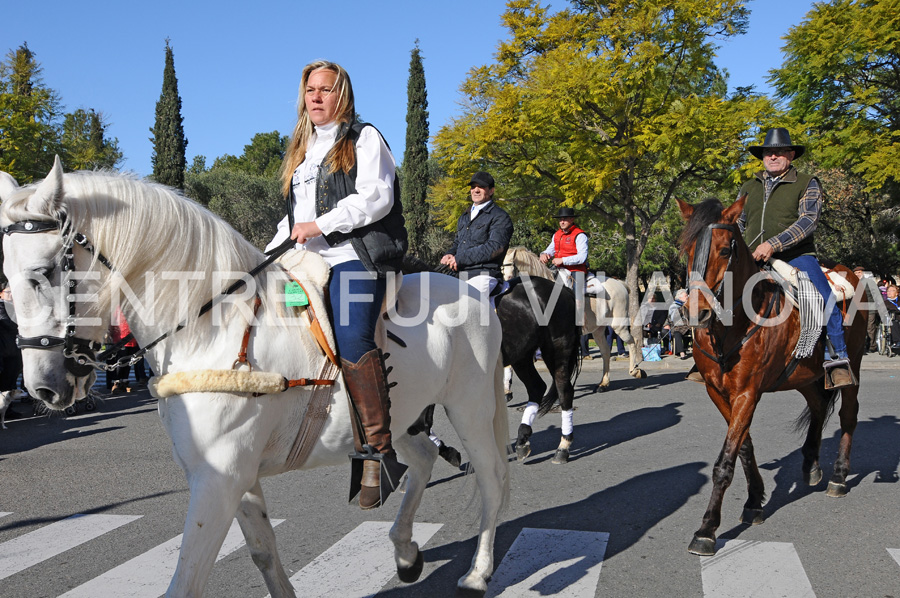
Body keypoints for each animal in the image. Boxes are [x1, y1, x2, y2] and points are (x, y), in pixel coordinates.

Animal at [0, 159, 506, 598]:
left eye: (44, 273)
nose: (43, 386)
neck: (209, 326)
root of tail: (475, 295)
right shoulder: (232, 477)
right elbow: (263, 551)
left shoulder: (218, 479)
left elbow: (185, 583)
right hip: (402, 416)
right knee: (423, 458)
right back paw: (405, 553)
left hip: (471, 409)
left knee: (491, 478)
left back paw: (478, 573)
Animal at [502, 245, 644, 390]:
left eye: (510, 266)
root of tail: (620, 284)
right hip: (598, 330)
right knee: (605, 351)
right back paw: (603, 383)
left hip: (619, 325)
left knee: (633, 342)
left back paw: (635, 371)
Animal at [680, 197, 868, 556]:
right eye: (686, 249)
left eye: (724, 250)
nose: (696, 312)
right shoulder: (718, 392)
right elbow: (743, 447)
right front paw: (754, 501)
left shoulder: (747, 393)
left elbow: (724, 462)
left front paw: (707, 529)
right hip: (804, 375)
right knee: (819, 406)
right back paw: (811, 465)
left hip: (853, 365)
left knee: (848, 415)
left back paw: (838, 476)